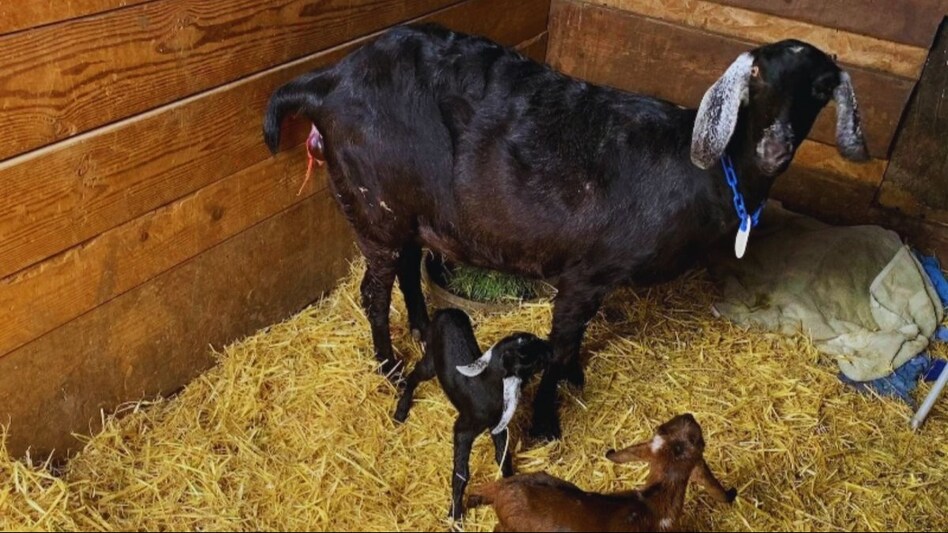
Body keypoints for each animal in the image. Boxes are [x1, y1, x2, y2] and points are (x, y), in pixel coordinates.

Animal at [263, 23, 869, 440]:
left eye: (821, 88)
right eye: (758, 77)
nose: (775, 147)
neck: (700, 169)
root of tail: (328, 82)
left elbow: (572, 343)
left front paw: (575, 376)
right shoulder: (585, 273)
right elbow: (557, 346)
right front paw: (548, 423)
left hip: (409, 211)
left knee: (409, 271)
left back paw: (418, 327)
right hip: (374, 208)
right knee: (372, 290)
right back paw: (388, 366)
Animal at [394, 308, 552, 520]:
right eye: (526, 356)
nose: (550, 348)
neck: (487, 386)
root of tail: (445, 311)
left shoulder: (497, 425)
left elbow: (503, 456)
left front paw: (510, 485)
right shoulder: (463, 430)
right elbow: (461, 473)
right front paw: (455, 514)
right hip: (431, 359)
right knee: (414, 376)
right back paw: (401, 411)